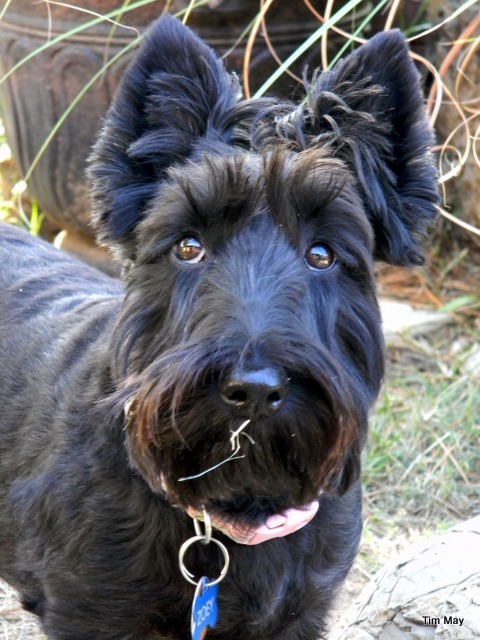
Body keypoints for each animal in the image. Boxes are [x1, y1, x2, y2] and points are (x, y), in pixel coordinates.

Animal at [0, 14, 438, 640]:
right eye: (188, 245)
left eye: (323, 254)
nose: (253, 389)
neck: (232, 509)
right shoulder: (91, 614)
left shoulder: (302, 614)